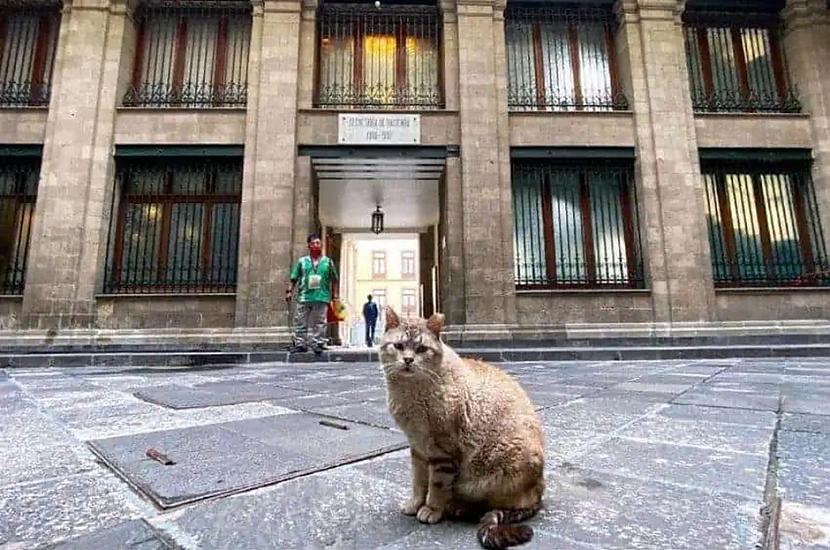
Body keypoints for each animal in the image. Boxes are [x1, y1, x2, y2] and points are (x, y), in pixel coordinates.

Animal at [380, 308, 548, 548]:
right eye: (399, 346)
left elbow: (436, 486)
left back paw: (456, 507)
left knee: (489, 506)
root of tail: (539, 493)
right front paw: (415, 503)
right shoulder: (418, 448)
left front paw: (431, 509)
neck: (411, 393)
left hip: (493, 472)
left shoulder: (441, 453)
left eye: (421, 349)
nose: (408, 360)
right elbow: (418, 482)